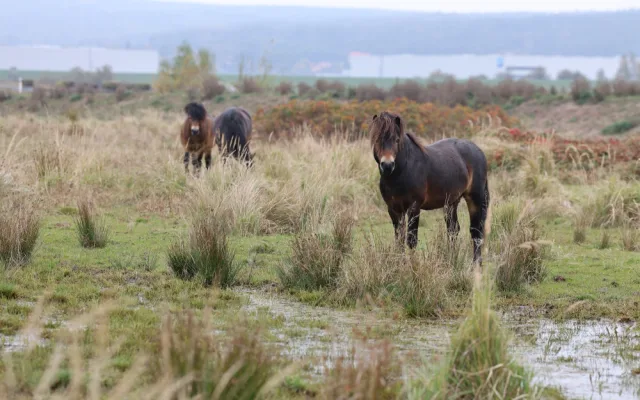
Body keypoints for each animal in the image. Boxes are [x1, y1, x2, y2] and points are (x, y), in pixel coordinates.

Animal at [369, 111, 491, 265]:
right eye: (376, 140)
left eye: (397, 140)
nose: (387, 165)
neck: (402, 171)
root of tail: (478, 150)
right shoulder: (393, 209)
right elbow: (399, 240)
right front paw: (399, 264)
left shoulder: (414, 207)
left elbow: (411, 240)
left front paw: (413, 266)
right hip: (451, 202)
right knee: (453, 230)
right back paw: (450, 259)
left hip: (475, 198)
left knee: (476, 230)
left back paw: (476, 264)